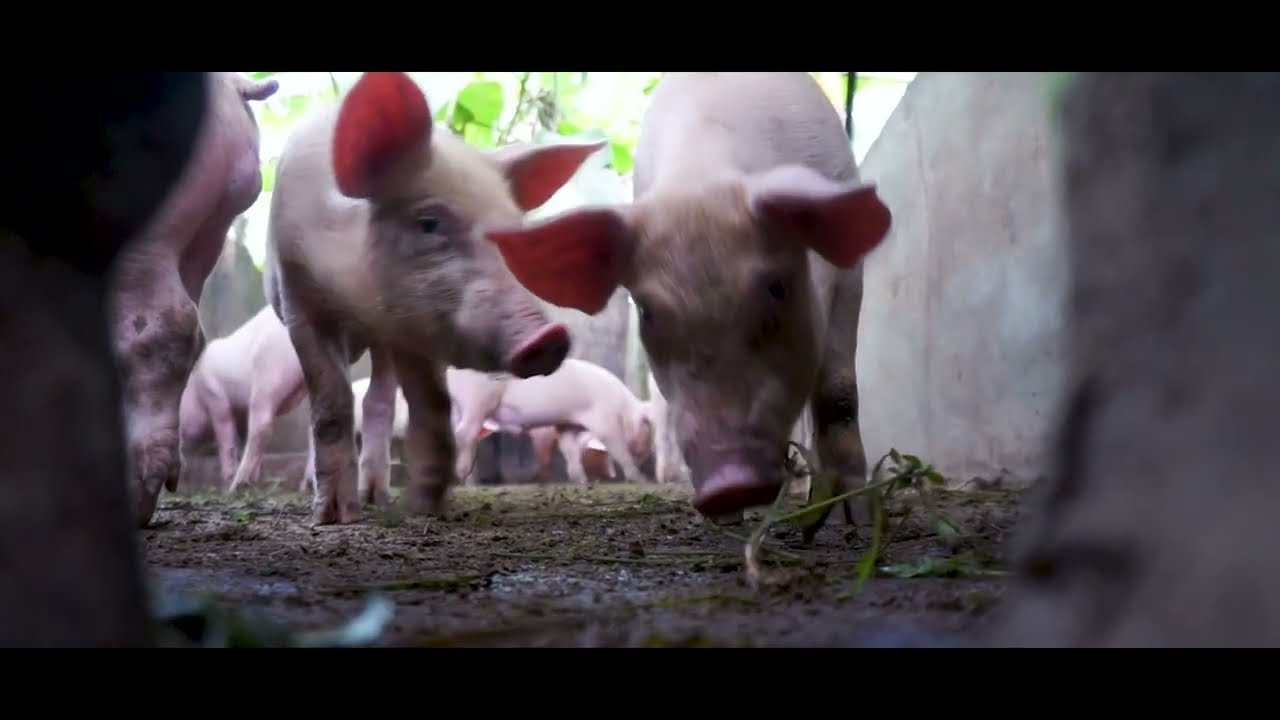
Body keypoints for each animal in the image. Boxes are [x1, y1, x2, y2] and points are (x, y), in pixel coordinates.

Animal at [178, 304, 307, 493]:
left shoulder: (215, 395)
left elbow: (226, 436)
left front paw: (227, 477)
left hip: (268, 376)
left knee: (261, 428)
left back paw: (236, 486)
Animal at [265, 71, 603, 525]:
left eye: (512, 231)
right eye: (429, 223)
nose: (549, 337)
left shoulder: (417, 326)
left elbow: (433, 404)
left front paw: (427, 507)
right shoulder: (299, 299)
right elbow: (332, 402)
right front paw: (334, 518)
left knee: (378, 402)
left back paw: (378, 497)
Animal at [448, 358, 655, 486]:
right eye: (646, 431)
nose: (646, 455)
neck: (622, 408)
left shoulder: (566, 424)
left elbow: (570, 450)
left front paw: (582, 481)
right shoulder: (604, 419)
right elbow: (618, 448)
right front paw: (641, 480)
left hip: (458, 407)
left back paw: (470, 482)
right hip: (477, 400)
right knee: (464, 433)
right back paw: (464, 477)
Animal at [482, 72, 893, 523]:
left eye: (776, 287)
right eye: (647, 312)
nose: (730, 484)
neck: (700, 176)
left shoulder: (849, 279)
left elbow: (840, 395)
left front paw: (855, 519)